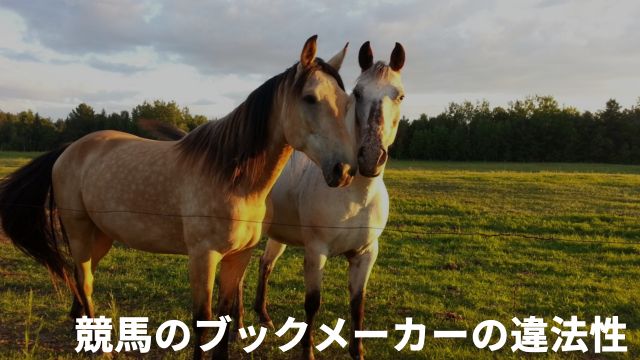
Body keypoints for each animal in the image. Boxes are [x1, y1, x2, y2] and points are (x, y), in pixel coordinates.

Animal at [0, 35, 356, 358]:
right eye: (310, 98)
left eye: (346, 101)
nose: (344, 170)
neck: (233, 178)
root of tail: (68, 150)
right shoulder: (203, 255)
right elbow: (203, 321)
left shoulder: (238, 257)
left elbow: (225, 318)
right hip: (79, 232)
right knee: (85, 283)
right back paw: (101, 350)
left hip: (99, 237)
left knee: (78, 282)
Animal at [255, 40, 404, 358]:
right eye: (357, 93)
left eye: (399, 95)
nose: (370, 157)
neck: (355, 197)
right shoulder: (316, 252)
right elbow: (313, 303)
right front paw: (308, 351)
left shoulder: (366, 254)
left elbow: (357, 305)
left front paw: (358, 351)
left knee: (265, 264)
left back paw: (263, 315)